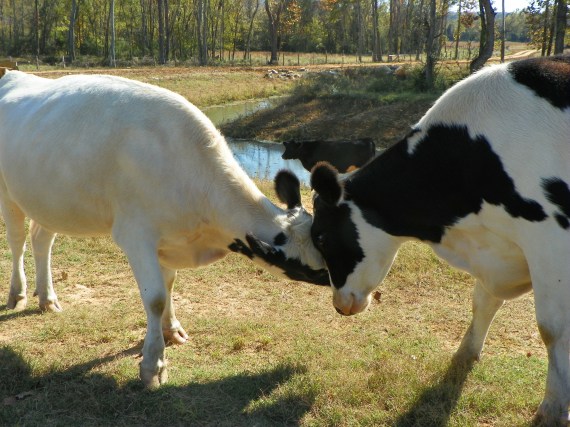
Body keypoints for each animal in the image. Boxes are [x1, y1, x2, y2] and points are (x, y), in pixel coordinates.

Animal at [0, 70, 328, 388]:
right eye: (315, 271)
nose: (343, 299)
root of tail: (14, 74)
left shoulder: (170, 239)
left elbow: (169, 285)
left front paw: (172, 330)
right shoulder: (136, 234)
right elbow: (156, 298)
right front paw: (153, 366)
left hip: (48, 200)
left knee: (41, 240)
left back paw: (47, 299)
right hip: (9, 193)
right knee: (17, 241)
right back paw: (18, 294)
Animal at [246, 56, 570, 424]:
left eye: (323, 239)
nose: (340, 306)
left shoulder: (551, 243)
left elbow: (552, 328)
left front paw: (552, 408)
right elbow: (483, 302)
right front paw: (465, 355)